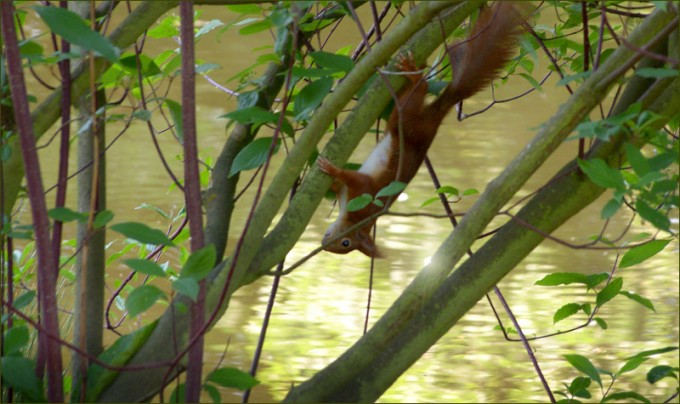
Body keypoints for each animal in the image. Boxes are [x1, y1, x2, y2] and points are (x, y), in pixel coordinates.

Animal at [318, 2, 528, 257]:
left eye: (346, 244)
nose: (325, 243)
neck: (359, 218)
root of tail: (433, 120)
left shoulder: (365, 192)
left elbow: (353, 178)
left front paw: (332, 170)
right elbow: (344, 183)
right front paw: (333, 181)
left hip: (406, 120)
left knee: (421, 88)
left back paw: (414, 73)